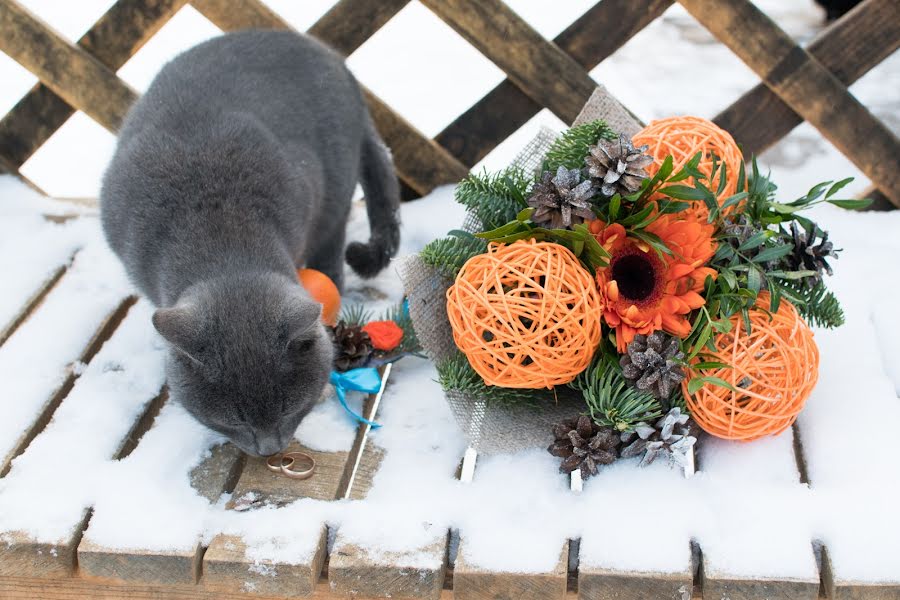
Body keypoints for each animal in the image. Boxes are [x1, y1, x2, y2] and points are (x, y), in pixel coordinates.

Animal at [99, 29, 400, 454]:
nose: (269, 449)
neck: (219, 236)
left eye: (290, 409)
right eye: (234, 421)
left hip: (335, 192)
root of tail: (336, 60)